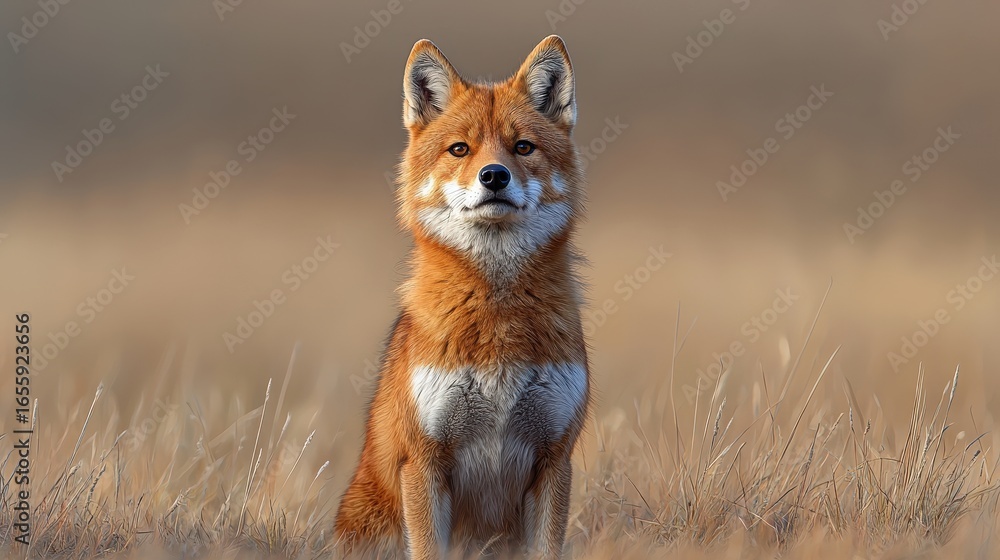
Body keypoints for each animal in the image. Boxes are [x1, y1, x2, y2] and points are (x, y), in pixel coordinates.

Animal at [334, 36, 590, 560]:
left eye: (522, 147)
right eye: (460, 149)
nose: (493, 175)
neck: (497, 327)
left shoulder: (555, 459)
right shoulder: (423, 461)